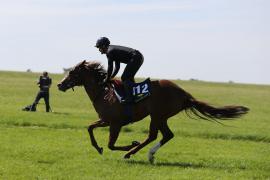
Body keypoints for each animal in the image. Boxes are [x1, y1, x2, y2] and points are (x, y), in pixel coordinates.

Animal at [57, 60, 249, 163]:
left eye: (72, 72)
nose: (59, 84)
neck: (103, 92)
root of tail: (184, 94)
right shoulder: (105, 120)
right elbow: (90, 128)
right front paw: (98, 148)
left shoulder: (116, 123)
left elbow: (111, 144)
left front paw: (129, 145)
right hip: (161, 116)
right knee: (167, 135)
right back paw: (149, 155)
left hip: (156, 115)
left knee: (153, 135)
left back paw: (132, 152)